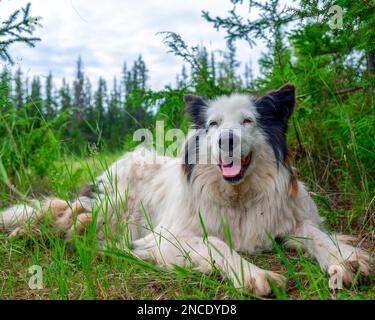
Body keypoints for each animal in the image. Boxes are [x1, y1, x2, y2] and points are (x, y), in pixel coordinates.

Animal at [0, 84, 370, 296]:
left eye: (248, 121)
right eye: (213, 124)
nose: (226, 140)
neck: (237, 197)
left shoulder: (288, 222)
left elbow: (318, 236)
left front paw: (346, 260)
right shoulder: (167, 237)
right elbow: (218, 245)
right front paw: (253, 274)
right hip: (115, 204)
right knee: (64, 215)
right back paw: (35, 231)